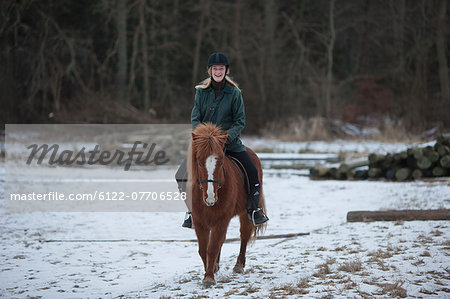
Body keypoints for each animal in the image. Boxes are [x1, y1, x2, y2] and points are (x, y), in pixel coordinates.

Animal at [187, 123, 268, 288]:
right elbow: (203, 249)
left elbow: (212, 248)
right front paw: (211, 270)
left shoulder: (221, 220)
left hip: (245, 213)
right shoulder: (199, 221)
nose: (210, 197)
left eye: (220, 162)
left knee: (244, 235)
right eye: (199, 163)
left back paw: (239, 265)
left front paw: (209, 277)